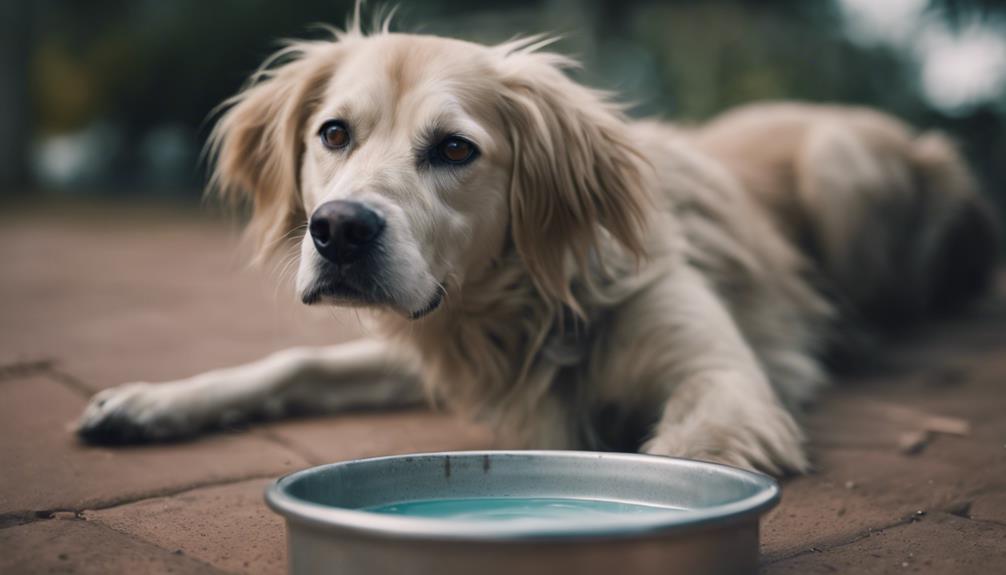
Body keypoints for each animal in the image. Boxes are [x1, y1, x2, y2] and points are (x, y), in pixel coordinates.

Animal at [74, 20, 1001, 474]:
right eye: (333, 133)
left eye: (455, 148)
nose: (338, 229)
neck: (525, 305)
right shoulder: (440, 341)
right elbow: (292, 363)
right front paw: (153, 400)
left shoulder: (725, 379)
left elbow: (689, 460)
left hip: (844, 164)